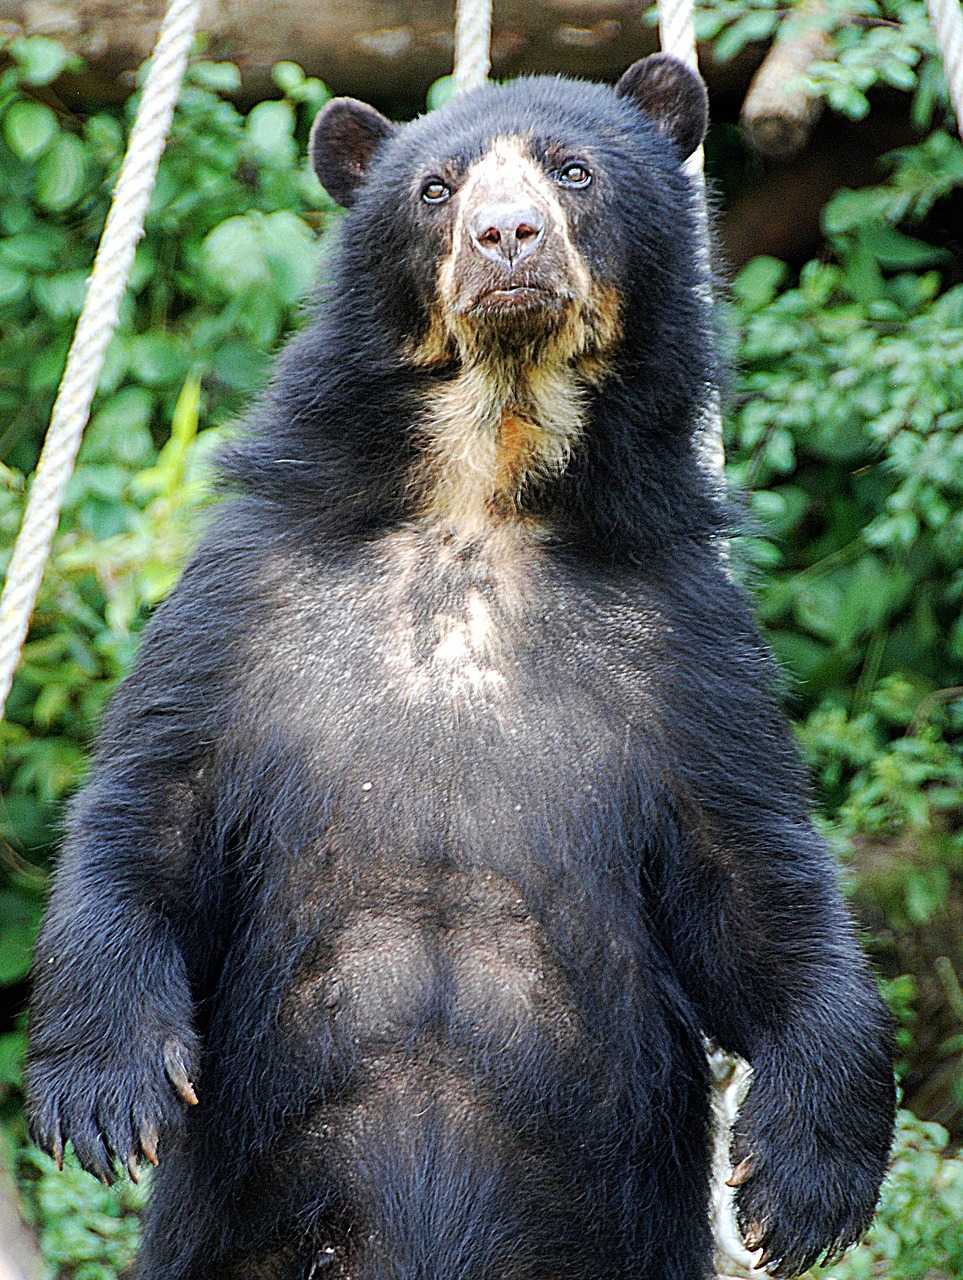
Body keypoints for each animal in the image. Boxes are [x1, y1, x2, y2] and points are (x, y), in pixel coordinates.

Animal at [24, 55, 896, 1280]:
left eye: (572, 171)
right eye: (436, 188)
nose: (506, 237)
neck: (483, 478)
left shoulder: (685, 634)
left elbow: (754, 875)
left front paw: (806, 1181)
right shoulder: (247, 589)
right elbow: (154, 804)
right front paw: (105, 1097)